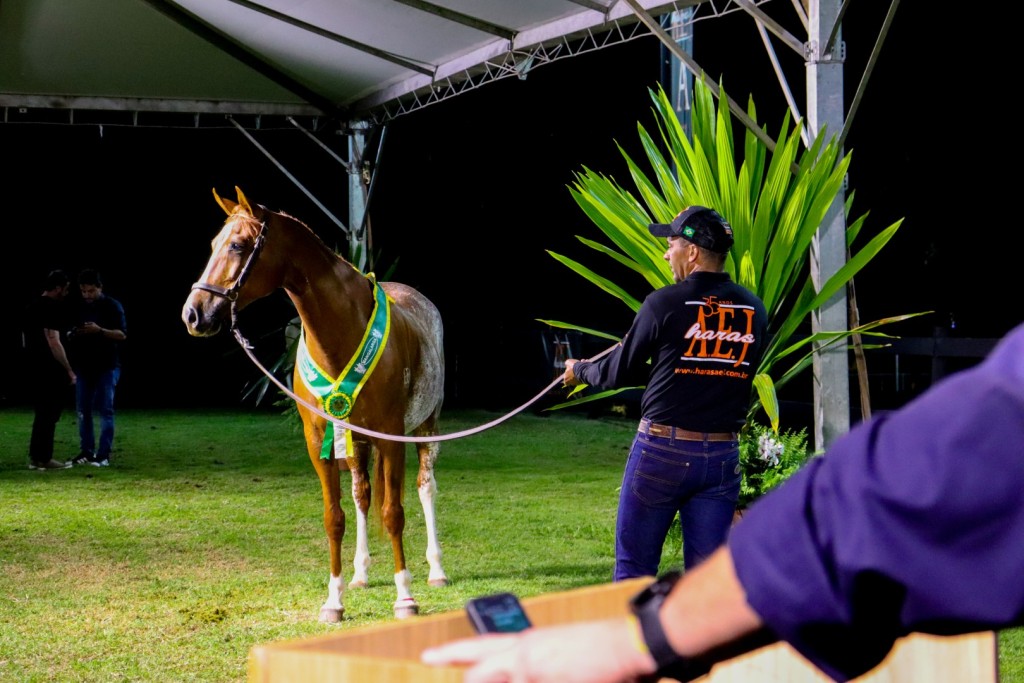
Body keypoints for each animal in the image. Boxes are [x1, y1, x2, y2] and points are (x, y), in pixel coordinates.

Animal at [180, 186, 448, 621]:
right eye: (213, 244)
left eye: (237, 245)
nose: (193, 314)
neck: (342, 333)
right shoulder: (319, 439)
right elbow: (334, 518)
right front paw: (334, 601)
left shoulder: (391, 436)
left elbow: (394, 513)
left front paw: (405, 597)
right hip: (355, 441)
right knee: (361, 494)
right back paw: (360, 574)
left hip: (426, 427)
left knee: (425, 488)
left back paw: (437, 570)